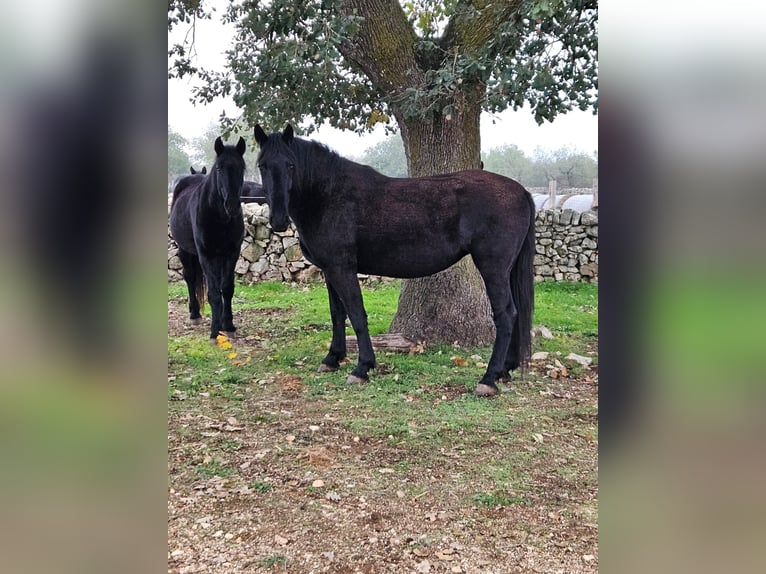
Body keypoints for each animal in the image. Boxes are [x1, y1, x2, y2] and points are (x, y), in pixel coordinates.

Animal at [170, 137, 246, 340]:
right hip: (185, 250)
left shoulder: (231, 253)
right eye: (219, 168)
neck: (219, 218)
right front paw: (214, 331)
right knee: (189, 277)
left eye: (242, 167)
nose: (232, 206)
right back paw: (194, 314)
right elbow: (213, 292)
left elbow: (226, 288)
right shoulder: (206, 255)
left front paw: (228, 325)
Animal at [255, 124, 536, 398]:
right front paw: (332, 359)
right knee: (515, 313)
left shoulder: (342, 268)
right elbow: (338, 314)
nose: (278, 220)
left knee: (506, 314)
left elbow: (356, 314)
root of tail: (521, 191)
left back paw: (488, 379)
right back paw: (504, 370)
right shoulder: (329, 270)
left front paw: (362, 368)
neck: (328, 195)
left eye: (291, 165)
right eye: (262, 165)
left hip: (493, 268)